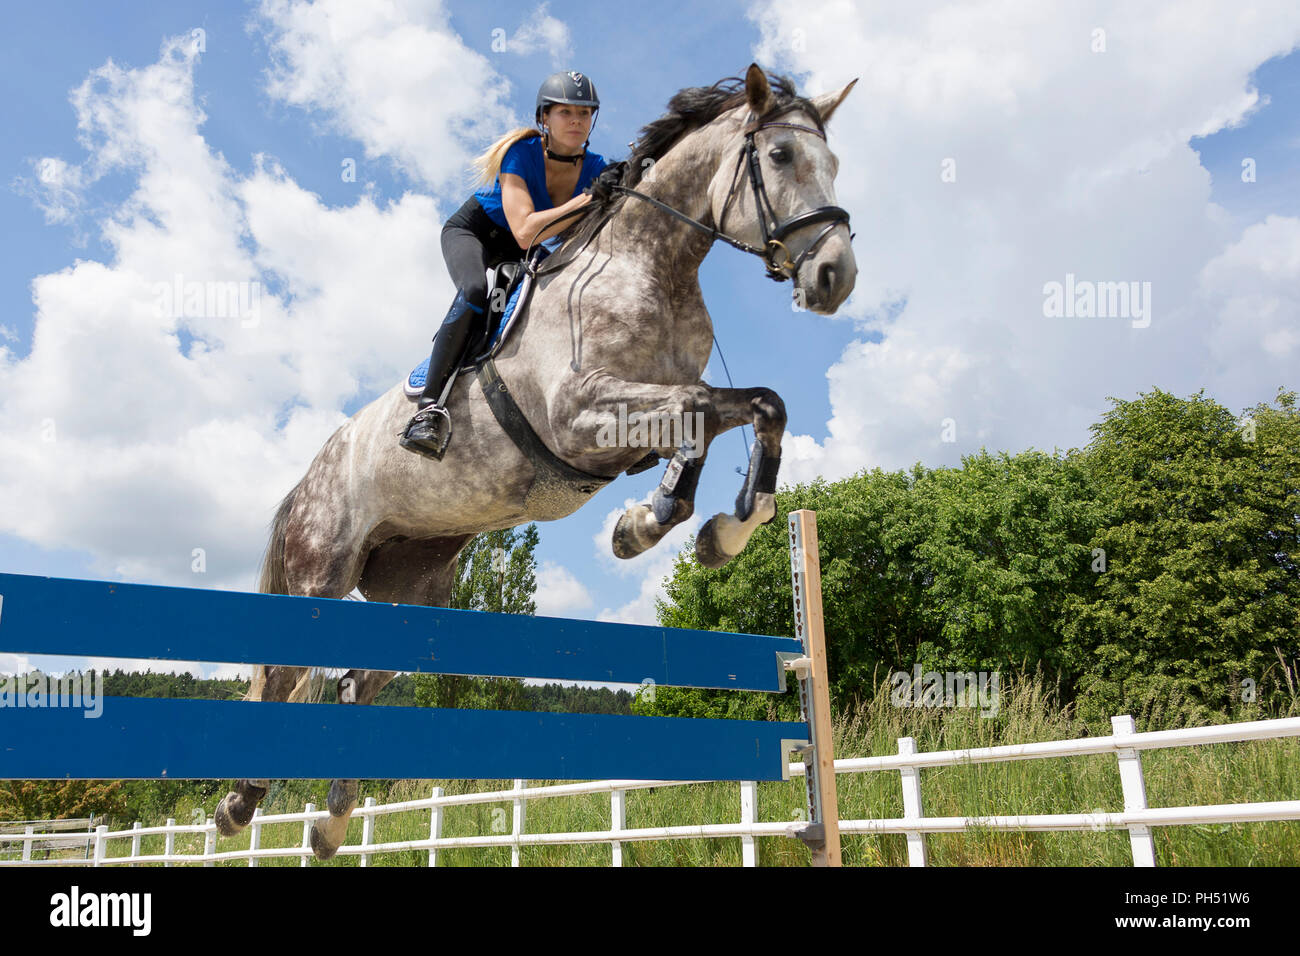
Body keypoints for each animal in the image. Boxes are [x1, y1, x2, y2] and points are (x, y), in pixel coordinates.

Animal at [217, 65, 857, 858]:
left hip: (416, 588)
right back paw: (238, 804)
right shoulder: (580, 413)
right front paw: (658, 526)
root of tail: (311, 474)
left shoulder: (650, 415)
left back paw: (331, 825)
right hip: (320, 571)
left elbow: (749, 410)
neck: (655, 265)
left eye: (834, 163)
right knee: (285, 675)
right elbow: (708, 415)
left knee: (356, 682)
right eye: (778, 157)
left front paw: (699, 529)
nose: (835, 276)